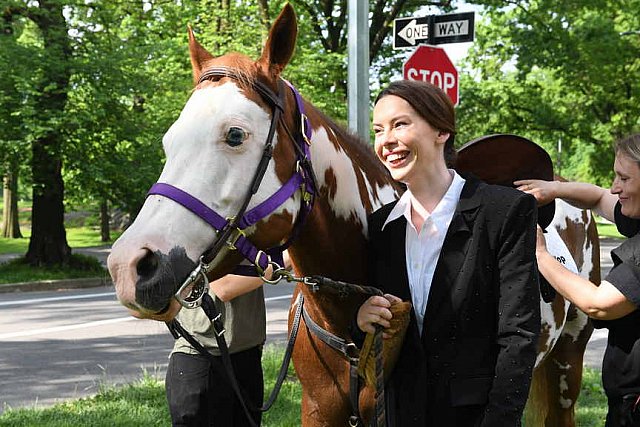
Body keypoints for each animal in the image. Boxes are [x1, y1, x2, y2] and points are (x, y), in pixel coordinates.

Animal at [106, 4, 600, 427]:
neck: (345, 321)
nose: (129, 266)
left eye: (235, 135)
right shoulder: (318, 411)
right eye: (169, 141)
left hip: (567, 362)